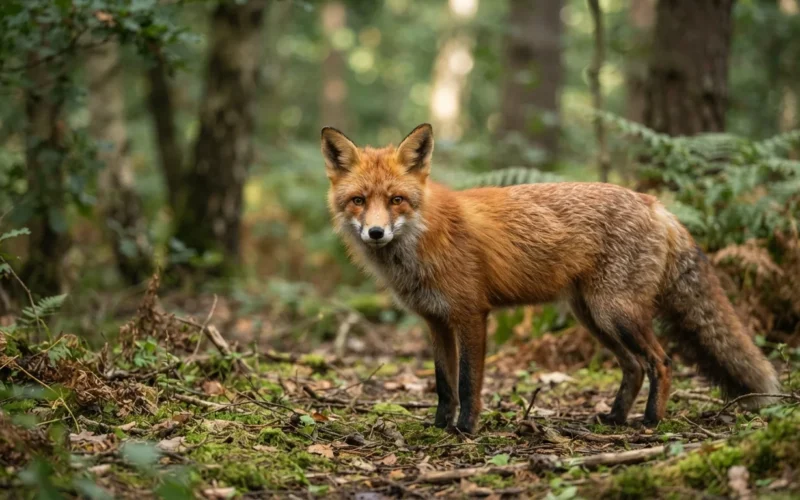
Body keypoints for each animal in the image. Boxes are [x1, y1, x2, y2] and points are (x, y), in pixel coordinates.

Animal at [320, 123, 781, 433]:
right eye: (358, 200)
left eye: (396, 200)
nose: (375, 232)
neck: (422, 239)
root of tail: (654, 202)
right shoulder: (436, 321)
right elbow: (443, 385)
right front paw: (438, 427)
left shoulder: (471, 314)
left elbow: (468, 383)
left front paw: (465, 429)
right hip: (593, 316)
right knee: (634, 366)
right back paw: (614, 417)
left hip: (616, 313)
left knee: (662, 362)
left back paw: (650, 421)